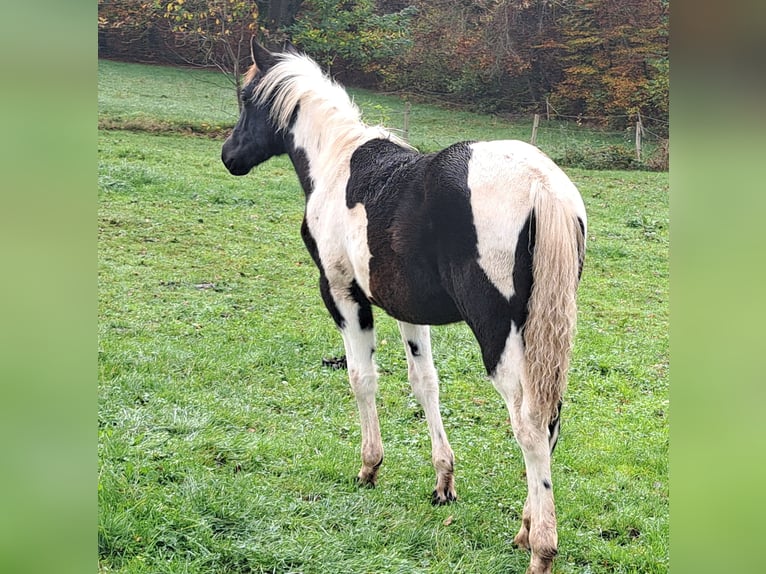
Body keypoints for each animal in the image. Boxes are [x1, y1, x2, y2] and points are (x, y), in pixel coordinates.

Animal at [222, 41, 588, 574]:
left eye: (247, 99)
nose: (229, 156)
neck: (338, 162)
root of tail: (542, 184)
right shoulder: (407, 310)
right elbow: (425, 383)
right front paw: (443, 482)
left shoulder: (343, 294)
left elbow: (362, 378)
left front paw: (369, 468)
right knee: (551, 417)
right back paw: (524, 529)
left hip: (500, 336)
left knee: (529, 423)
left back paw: (540, 546)